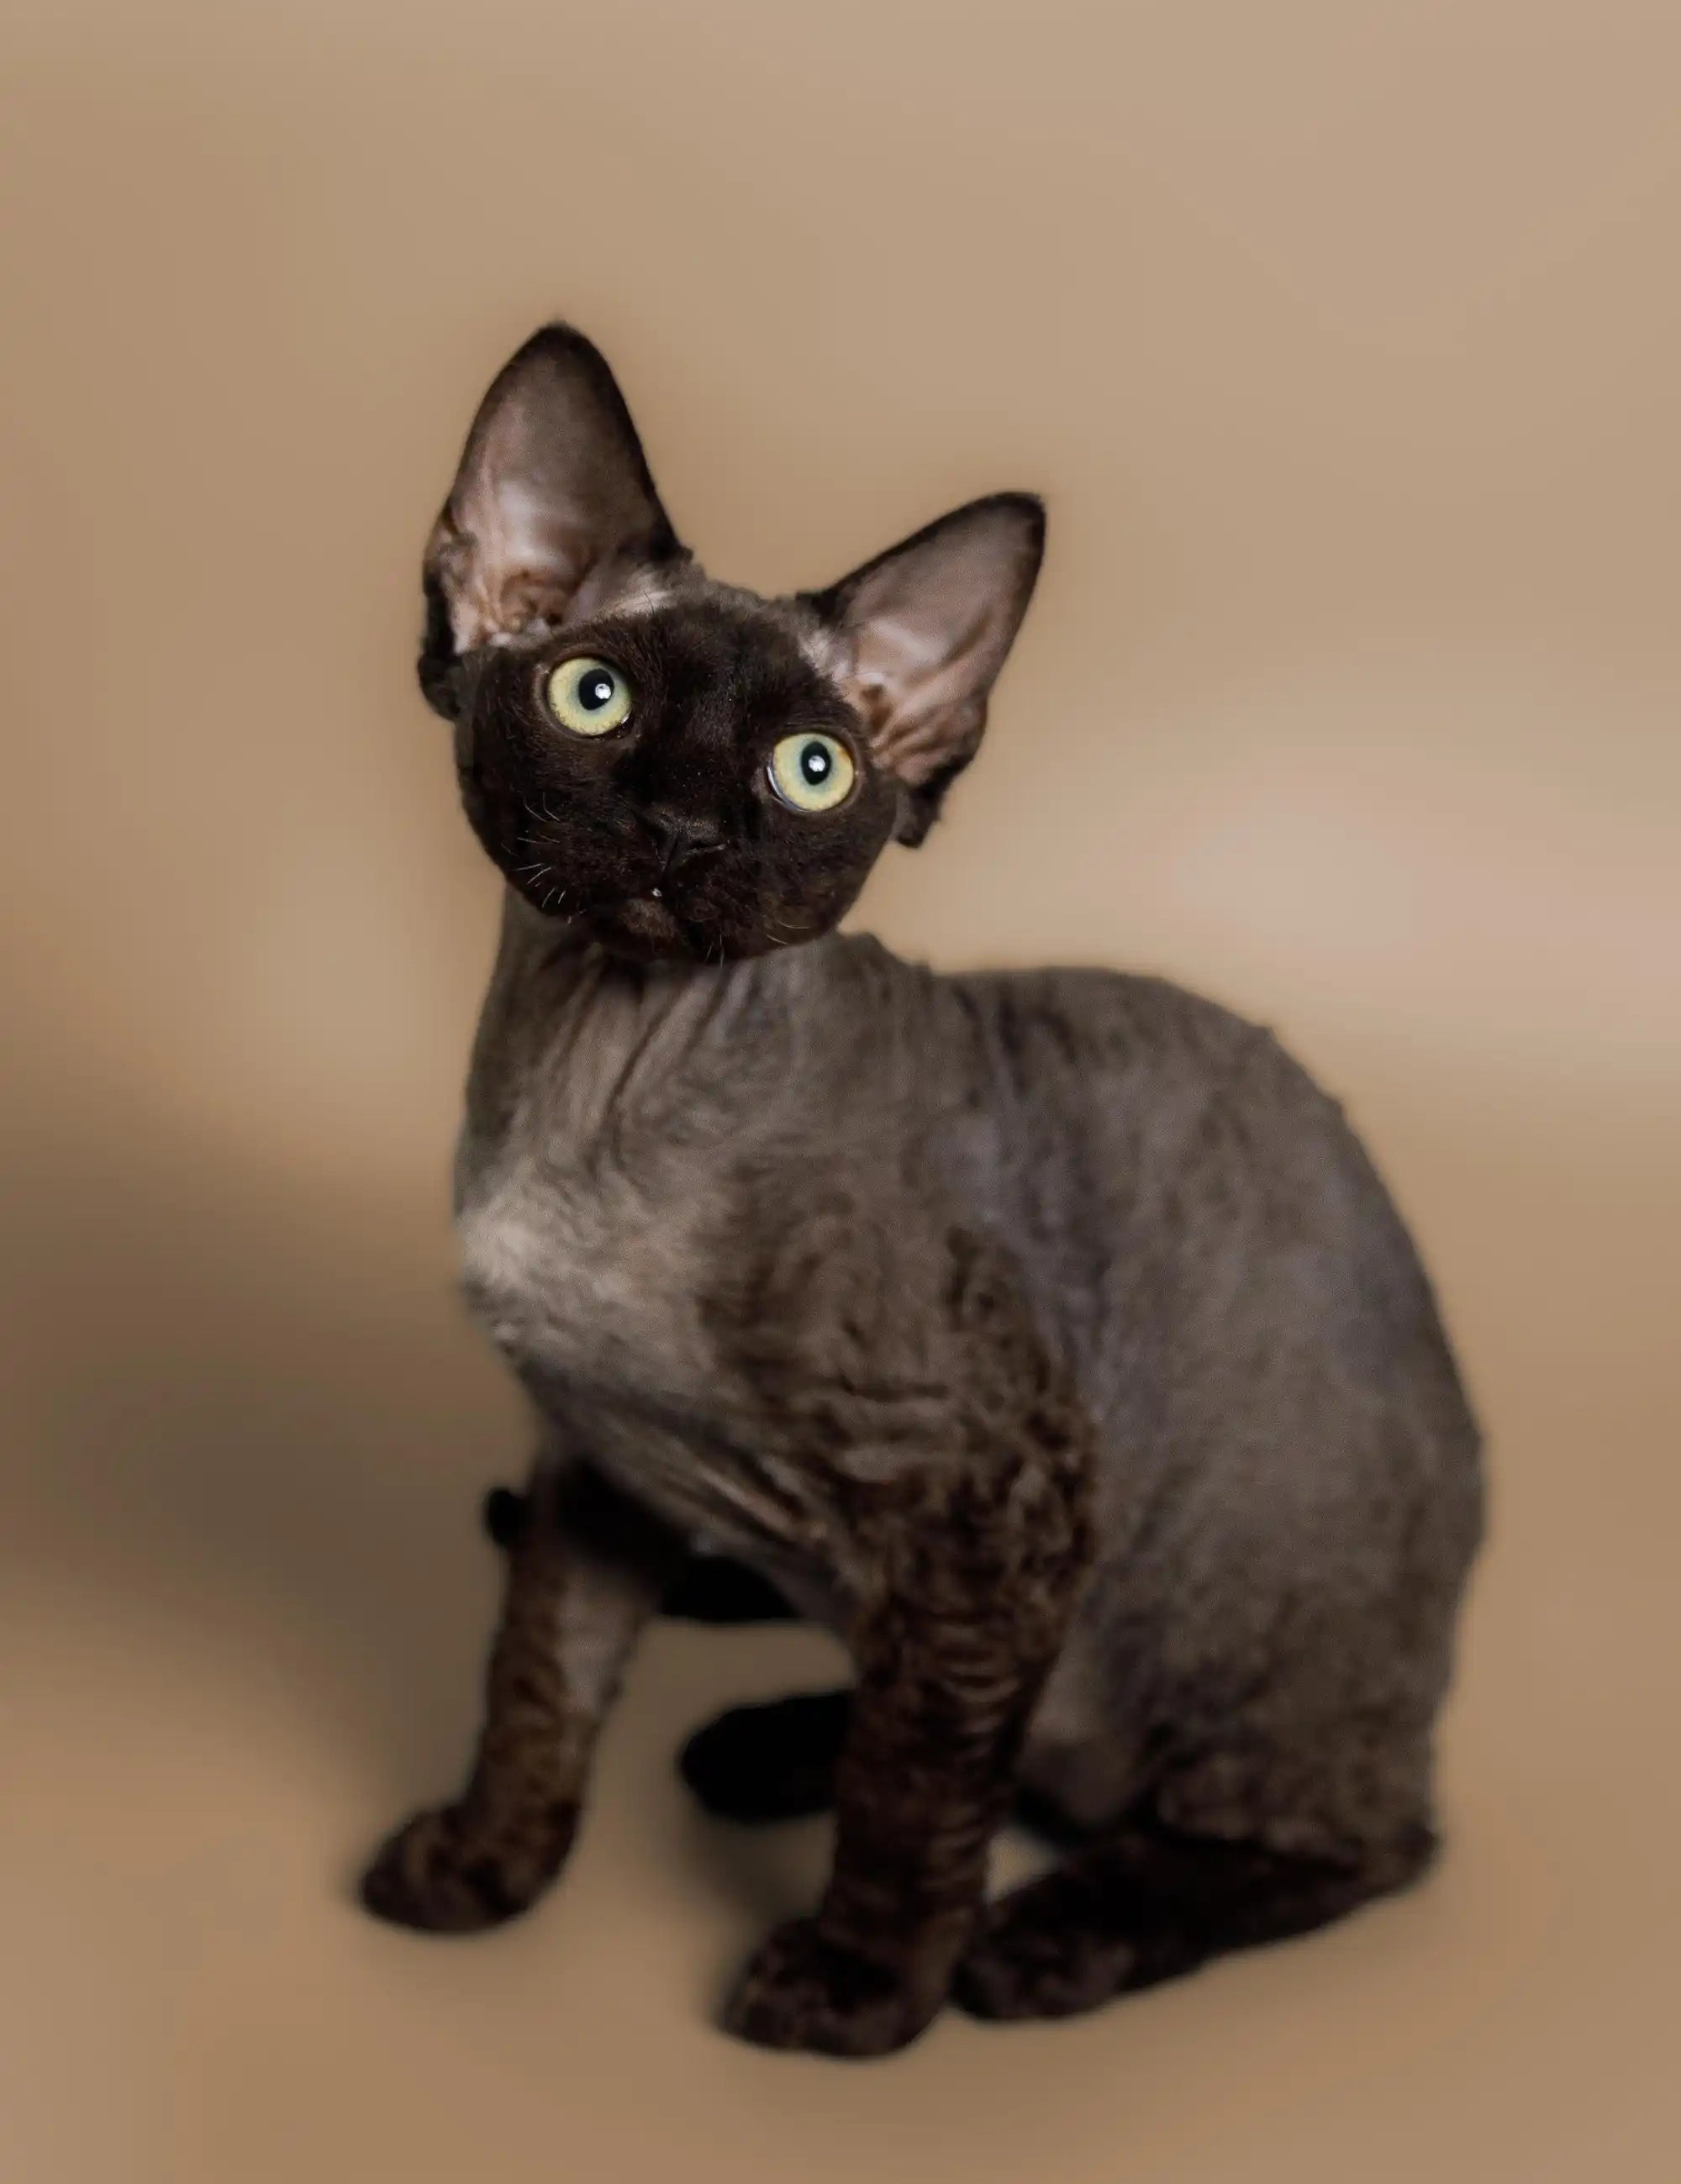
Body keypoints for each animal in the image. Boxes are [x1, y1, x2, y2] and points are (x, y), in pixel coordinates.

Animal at [362, 316, 1484, 2053]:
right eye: (593, 695)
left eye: (814, 768)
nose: (684, 828)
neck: (598, 1091)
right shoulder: (600, 1468)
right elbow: (538, 1684)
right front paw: (482, 1867)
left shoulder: (995, 1496)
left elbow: (912, 1801)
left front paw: (863, 1993)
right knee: (983, 1724)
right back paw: (770, 1743)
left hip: (1211, 1613)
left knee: (1345, 1836)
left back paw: (1045, 1940)